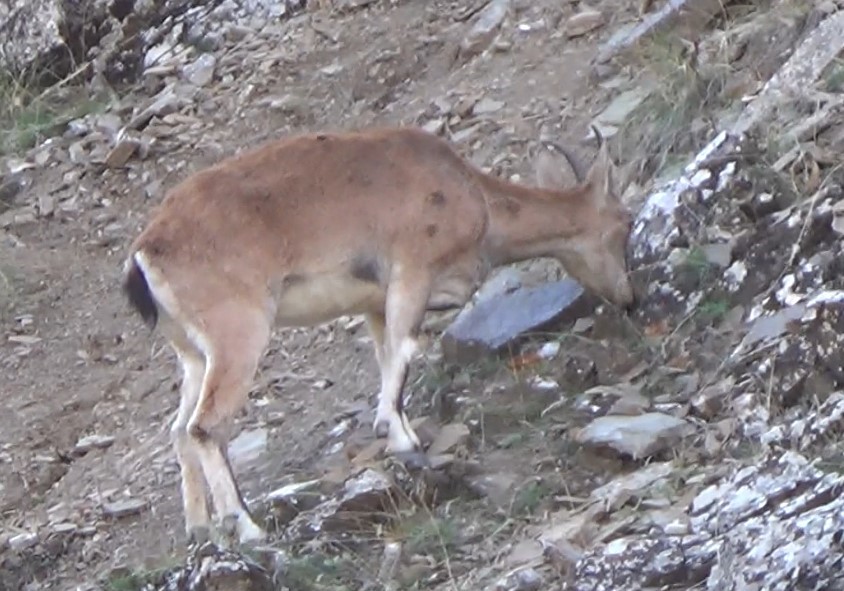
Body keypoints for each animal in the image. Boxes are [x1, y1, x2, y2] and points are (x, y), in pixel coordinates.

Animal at [122, 125, 636, 544]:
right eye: (624, 223)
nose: (629, 297)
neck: (475, 199)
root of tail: (146, 256)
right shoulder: (412, 272)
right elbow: (406, 350)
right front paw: (403, 442)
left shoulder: (374, 303)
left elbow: (388, 357)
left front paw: (401, 436)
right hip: (239, 334)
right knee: (205, 426)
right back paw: (247, 529)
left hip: (193, 353)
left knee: (179, 430)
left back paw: (201, 528)